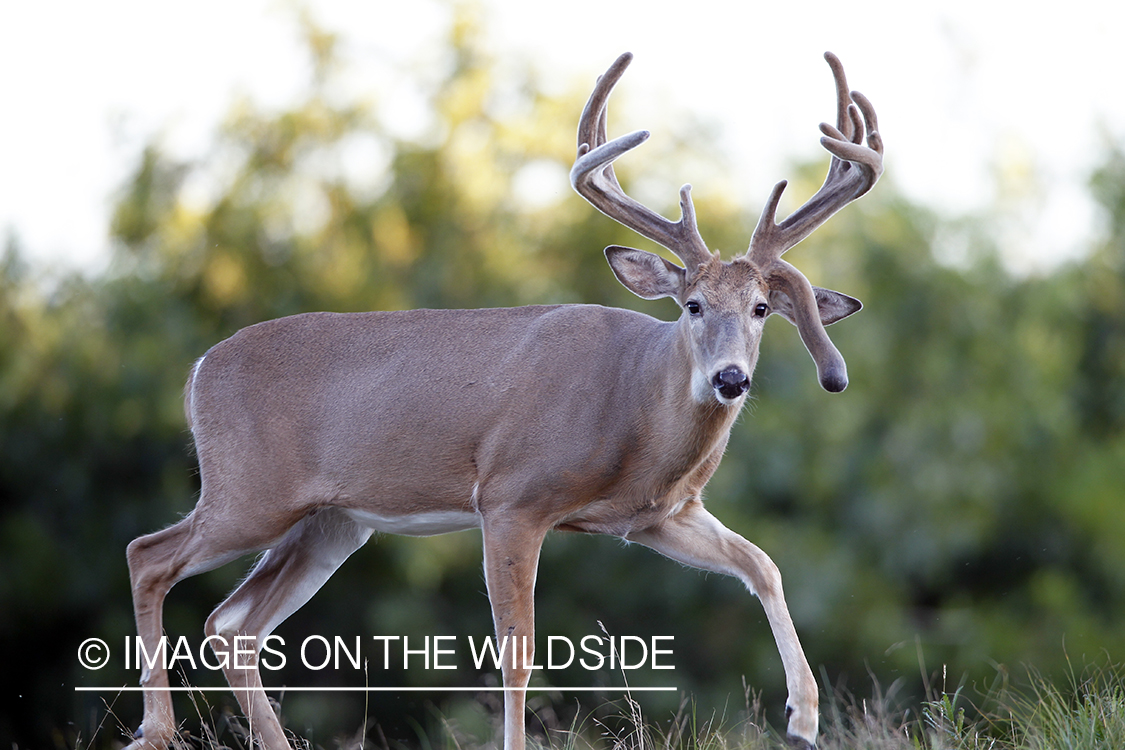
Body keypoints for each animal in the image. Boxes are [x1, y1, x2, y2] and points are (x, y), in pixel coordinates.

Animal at [123, 51, 877, 750]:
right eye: (691, 304)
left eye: (760, 309)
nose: (730, 379)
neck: (634, 406)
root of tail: (199, 369)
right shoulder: (512, 497)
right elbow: (517, 651)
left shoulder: (655, 516)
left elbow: (763, 565)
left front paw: (803, 718)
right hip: (249, 493)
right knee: (148, 555)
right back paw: (153, 730)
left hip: (330, 522)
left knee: (232, 622)